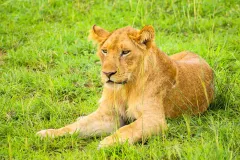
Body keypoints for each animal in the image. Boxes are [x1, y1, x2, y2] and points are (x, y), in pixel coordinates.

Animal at [37, 25, 214, 149]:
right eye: (104, 51)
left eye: (125, 52)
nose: (108, 73)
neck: (125, 88)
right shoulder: (109, 116)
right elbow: (74, 127)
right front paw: (48, 133)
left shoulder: (155, 119)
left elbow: (128, 129)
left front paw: (108, 142)